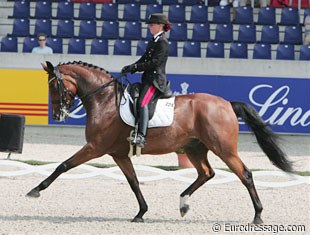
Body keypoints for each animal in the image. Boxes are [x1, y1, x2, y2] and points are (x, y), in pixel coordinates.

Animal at [27, 60, 294, 224]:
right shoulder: (118, 154)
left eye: (54, 86)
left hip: (224, 148)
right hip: (195, 148)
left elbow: (63, 165)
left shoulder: (95, 148)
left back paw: (257, 215)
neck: (104, 101)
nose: (58, 115)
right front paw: (141, 213)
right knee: (206, 173)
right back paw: (183, 203)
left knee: (245, 174)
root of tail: (227, 104)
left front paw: (35, 190)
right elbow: (134, 182)